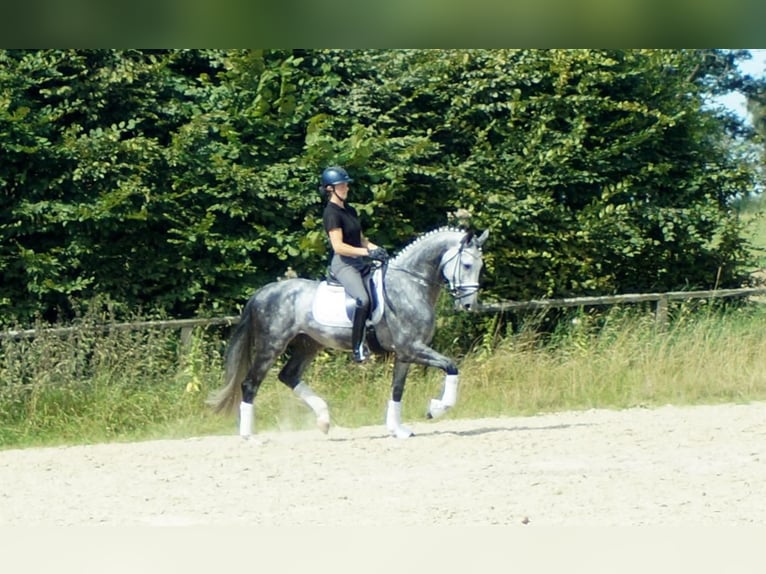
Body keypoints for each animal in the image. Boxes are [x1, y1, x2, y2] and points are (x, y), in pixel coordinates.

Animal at [207, 227, 488, 438]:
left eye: (480, 266)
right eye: (466, 264)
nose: (469, 305)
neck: (410, 285)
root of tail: (262, 293)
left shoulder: (405, 354)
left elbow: (397, 390)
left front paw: (398, 430)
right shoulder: (412, 348)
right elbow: (451, 366)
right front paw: (436, 409)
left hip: (308, 344)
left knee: (288, 376)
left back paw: (323, 420)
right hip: (271, 345)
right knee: (250, 383)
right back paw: (250, 437)